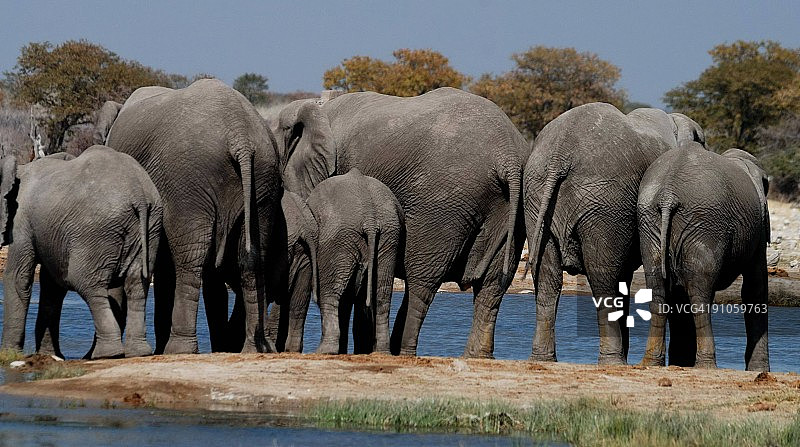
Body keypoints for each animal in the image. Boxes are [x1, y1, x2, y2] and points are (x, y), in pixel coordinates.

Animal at [0, 145, 162, 359]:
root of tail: (139, 195)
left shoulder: (21, 220)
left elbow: (18, 278)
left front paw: (8, 354)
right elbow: (51, 287)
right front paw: (51, 355)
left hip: (96, 230)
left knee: (87, 283)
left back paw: (106, 354)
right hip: (151, 226)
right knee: (136, 285)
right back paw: (138, 352)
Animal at [99, 79, 283, 354]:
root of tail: (240, 135)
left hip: (187, 182)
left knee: (191, 257)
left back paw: (178, 349)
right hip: (263, 180)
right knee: (252, 257)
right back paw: (250, 348)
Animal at [266, 169, 404, 354]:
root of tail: (370, 216)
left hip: (338, 240)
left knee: (329, 293)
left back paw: (324, 350)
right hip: (388, 237)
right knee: (381, 294)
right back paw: (382, 352)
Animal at [524, 103, 706, 365]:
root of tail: (560, 154)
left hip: (537, 197)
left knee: (548, 278)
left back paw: (542, 359)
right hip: (604, 202)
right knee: (602, 278)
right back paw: (612, 360)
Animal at [638, 143, 770, 371]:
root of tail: (667, 194)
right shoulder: (759, 227)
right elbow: (755, 287)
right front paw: (759, 370)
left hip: (654, 222)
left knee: (659, 289)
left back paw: (652, 363)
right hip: (704, 225)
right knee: (699, 293)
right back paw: (706, 365)